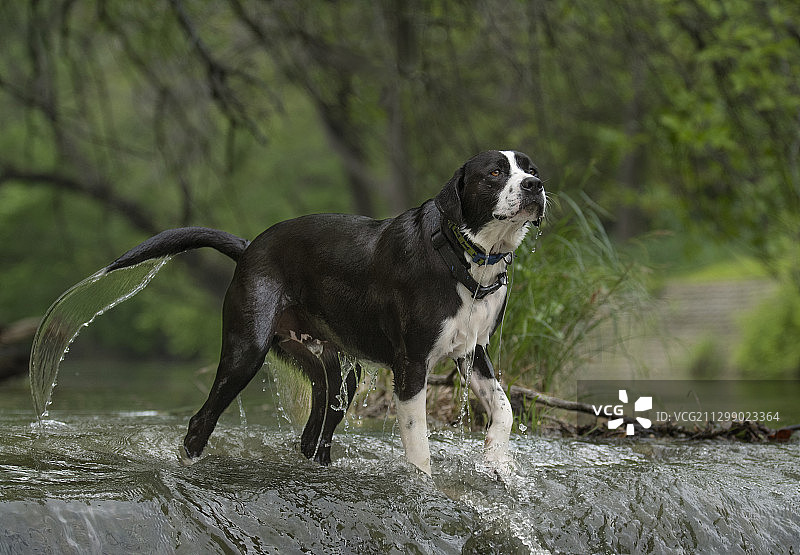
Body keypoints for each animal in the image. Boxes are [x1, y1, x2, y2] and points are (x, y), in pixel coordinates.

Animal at [97, 150, 544, 476]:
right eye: (495, 172)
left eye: (530, 169)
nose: (535, 186)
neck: (463, 258)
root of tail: (249, 247)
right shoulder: (412, 367)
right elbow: (419, 449)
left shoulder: (473, 352)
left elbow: (503, 409)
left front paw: (494, 459)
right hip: (246, 353)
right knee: (200, 422)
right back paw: (188, 466)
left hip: (337, 372)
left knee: (315, 438)